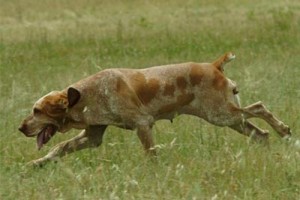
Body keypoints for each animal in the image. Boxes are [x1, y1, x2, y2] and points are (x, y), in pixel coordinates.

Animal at [18, 52, 290, 166]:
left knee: (259, 108)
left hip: (221, 115)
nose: (20, 128)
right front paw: (38, 163)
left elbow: (150, 154)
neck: (86, 95)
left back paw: (284, 130)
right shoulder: (92, 136)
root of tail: (214, 66)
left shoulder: (142, 125)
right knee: (260, 133)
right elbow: (58, 149)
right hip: (229, 118)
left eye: (37, 111)